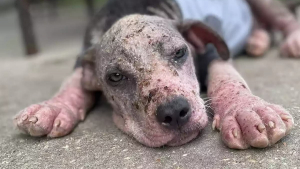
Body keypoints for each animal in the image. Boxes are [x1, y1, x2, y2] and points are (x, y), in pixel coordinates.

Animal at [14, 0, 296, 149]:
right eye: (115, 77)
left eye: (180, 53)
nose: (174, 112)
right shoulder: (84, 57)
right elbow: (73, 81)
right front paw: (54, 107)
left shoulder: (213, 54)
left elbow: (227, 80)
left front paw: (247, 110)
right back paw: (257, 40)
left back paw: (292, 40)